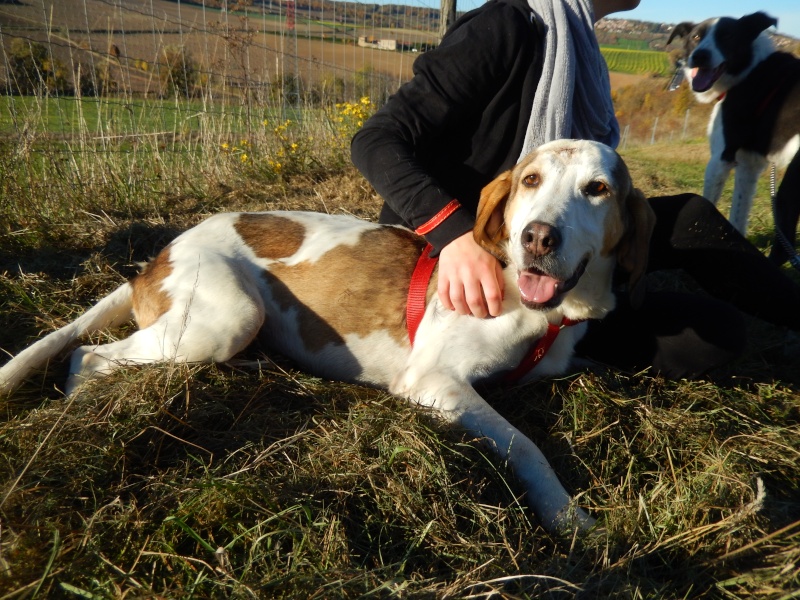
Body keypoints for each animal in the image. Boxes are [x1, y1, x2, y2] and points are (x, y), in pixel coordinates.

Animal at [1, 139, 656, 528]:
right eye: (530, 180)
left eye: (598, 189)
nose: (537, 238)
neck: (543, 312)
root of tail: (156, 260)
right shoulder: (434, 380)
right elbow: (525, 445)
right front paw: (568, 514)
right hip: (225, 318)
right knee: (87, 357)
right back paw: (86, 403)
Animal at [668, 10, 800, 264]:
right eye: (696, 36)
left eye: (727, 36)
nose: (699, 56)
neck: (749, 70)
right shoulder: (749, 165)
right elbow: (738, 213)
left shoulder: (720, 158)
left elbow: (707, 202)